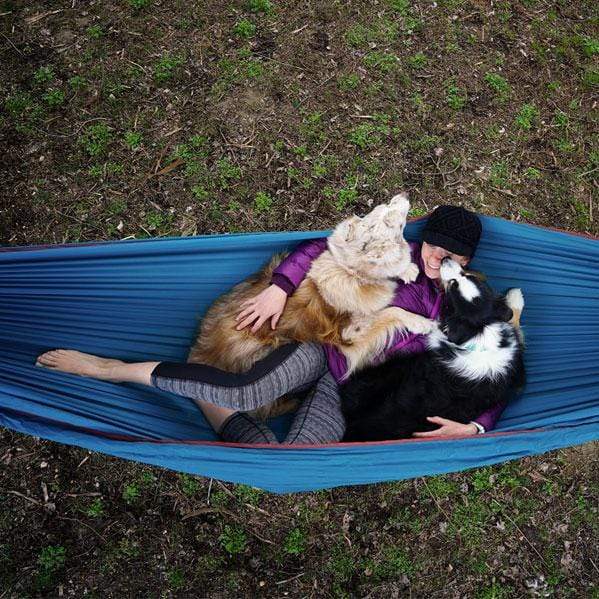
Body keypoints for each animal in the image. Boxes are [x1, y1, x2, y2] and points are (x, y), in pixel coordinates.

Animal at [188, 194, 434, 418]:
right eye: (387, 217)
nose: (403, 194)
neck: (352, 273)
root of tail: (196, 355)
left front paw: (407, 270)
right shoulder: (347, 334)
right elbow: (392, 310)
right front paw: (422, 323)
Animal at [340, 257, 526, 441]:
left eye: (454, 283)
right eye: (463, 277)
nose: (445, 258)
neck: (477, 333)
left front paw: (515, 298)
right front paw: (515, 299)